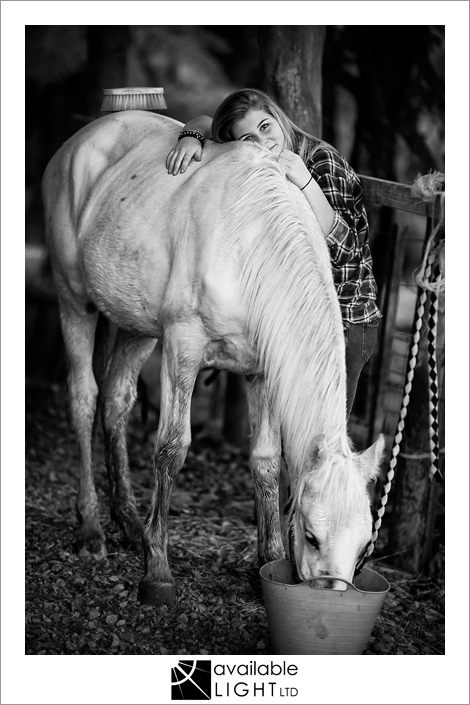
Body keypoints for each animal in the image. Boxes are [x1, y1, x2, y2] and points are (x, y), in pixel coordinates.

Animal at [42, 110, 384, 604]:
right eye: (312, 536)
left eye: (363, 547)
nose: (331, 597)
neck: (248, 240)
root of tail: (81, 137)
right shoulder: (183, 346)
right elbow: (171, 449)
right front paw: (158, 572)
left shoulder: (261, 371)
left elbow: (267, 462)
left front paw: (265, 563)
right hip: (75, 302)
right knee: (84, 399)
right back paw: (91, 530)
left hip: (137, 328)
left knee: (116, 400)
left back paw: (129, 523)